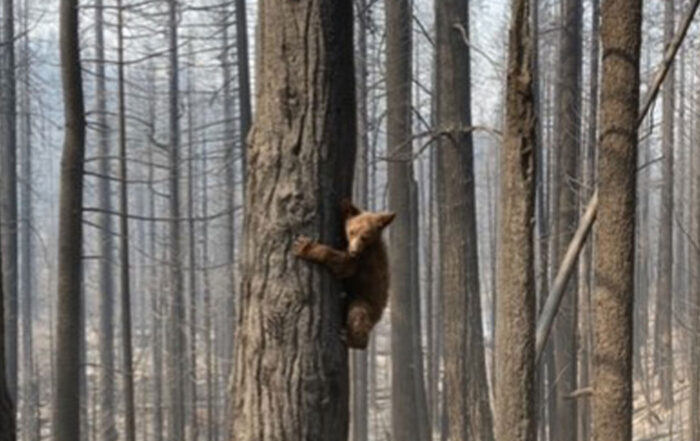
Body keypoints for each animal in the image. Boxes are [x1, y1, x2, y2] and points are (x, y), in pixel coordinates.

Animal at [292, 199, 395, 349]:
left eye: (365, 236)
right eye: (352, 231)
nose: (353, 250)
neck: (367, 247)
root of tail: (380, 316)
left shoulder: (363, 260)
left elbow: (343, 265)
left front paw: (303, 246)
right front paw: (345, 206)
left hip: (365, 302)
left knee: (358, 314)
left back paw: (349, 338)